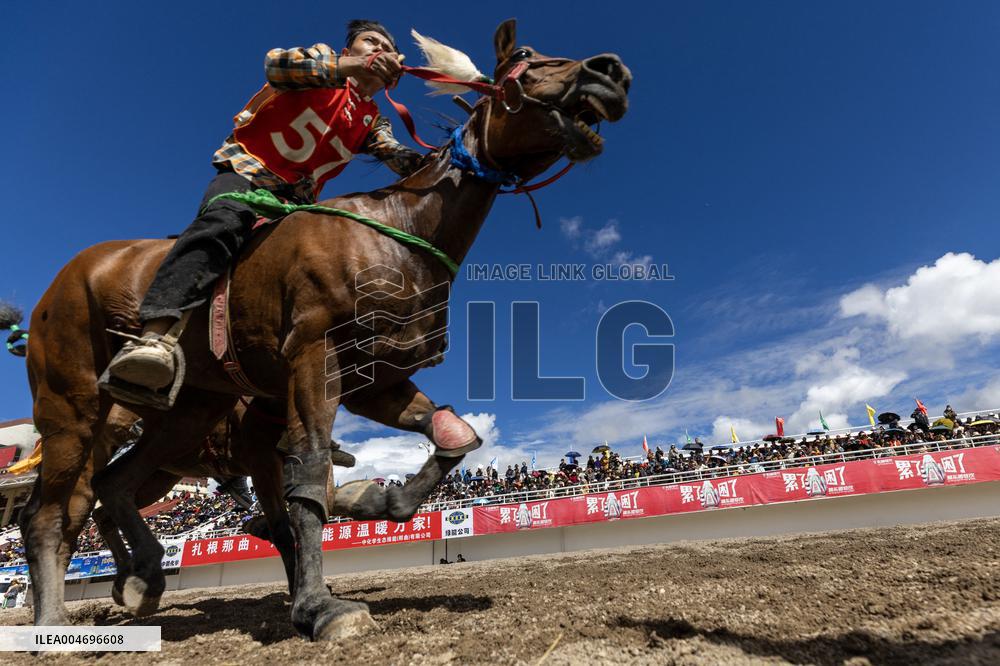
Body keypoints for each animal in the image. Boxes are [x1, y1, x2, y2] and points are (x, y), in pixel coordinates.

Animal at [16, 19, 631, 641]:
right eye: (526, 54)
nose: (611, 71)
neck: (397, 233)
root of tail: (67, 278)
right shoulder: (315, 357)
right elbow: (307, 476)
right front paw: (319, 606)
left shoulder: (376, 376)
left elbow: (454, 436)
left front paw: (378, 503)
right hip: (72, 406)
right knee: (51, 513)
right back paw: (52, 620)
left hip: (188, 413)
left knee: (110, 487)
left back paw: (141, 578)